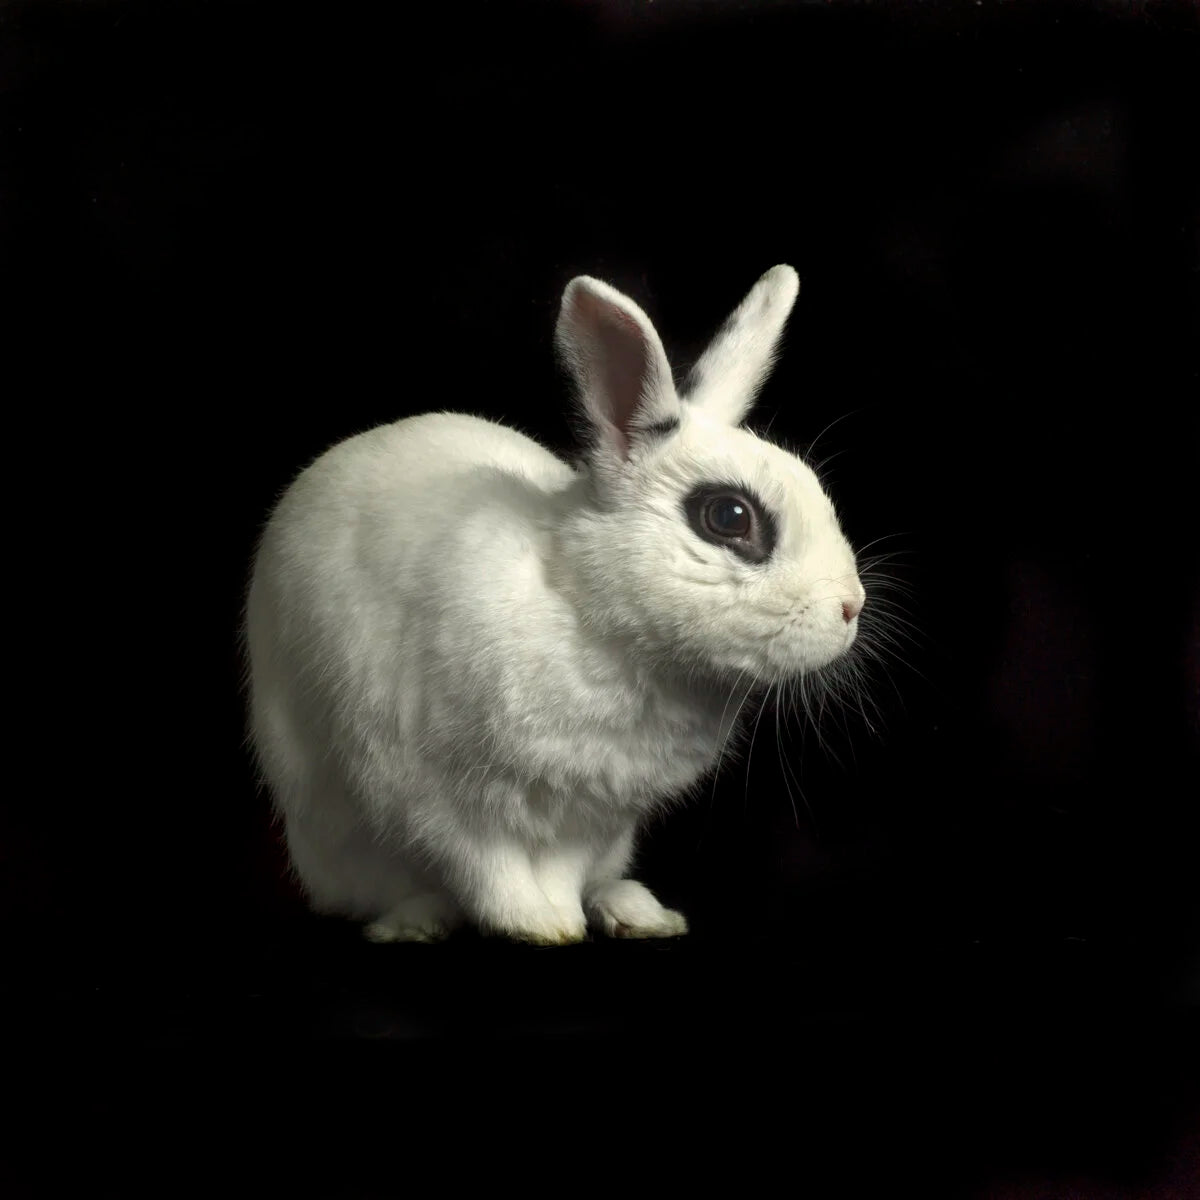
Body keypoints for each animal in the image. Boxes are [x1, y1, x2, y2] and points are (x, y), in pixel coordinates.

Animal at [244, 264, 865, 946]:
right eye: (729, 516)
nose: (851, 607)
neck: (590, 615)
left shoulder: (596, 813)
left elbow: (566, 870)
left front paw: (564, 916)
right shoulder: (435, 792)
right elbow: (485, 865)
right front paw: (538, 925)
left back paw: (637, 912)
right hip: (334, 837)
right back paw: (414, 922)